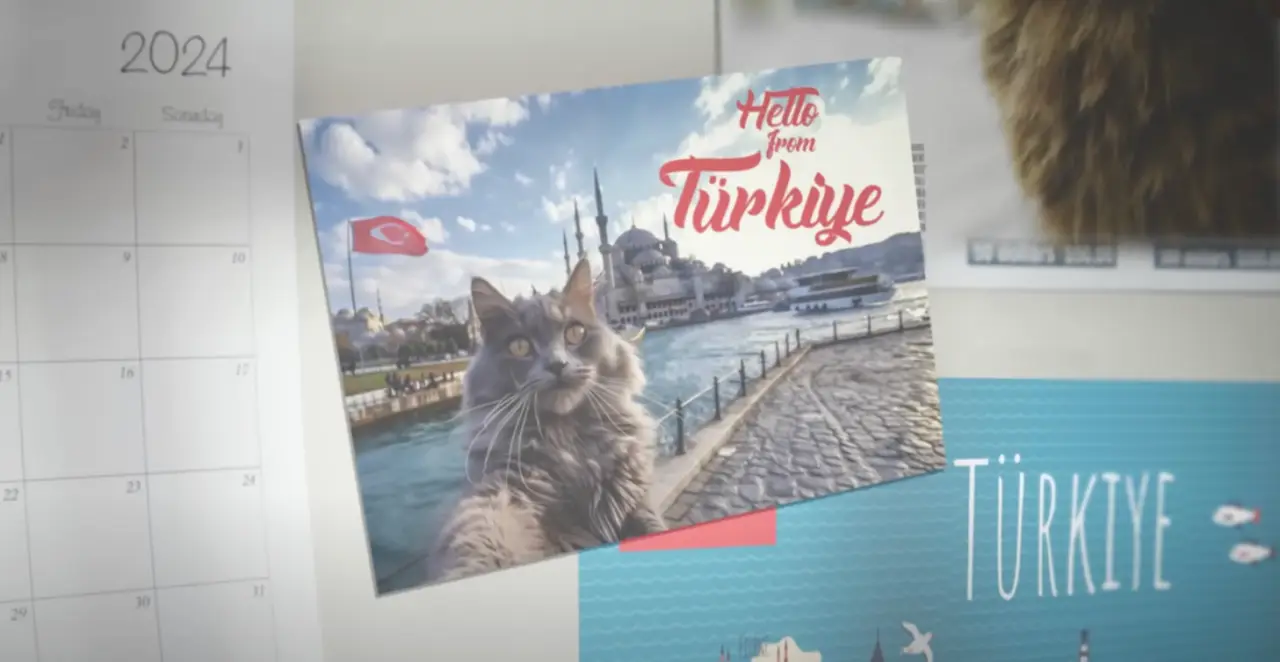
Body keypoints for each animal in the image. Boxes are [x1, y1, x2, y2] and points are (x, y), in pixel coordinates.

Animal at [430, 259, 670, 583]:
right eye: (519, 346)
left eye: (575, 333)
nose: (557, 365)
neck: (570, 441)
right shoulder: (511, 487)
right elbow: (488, 531)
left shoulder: (633, 497)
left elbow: (650, 523)